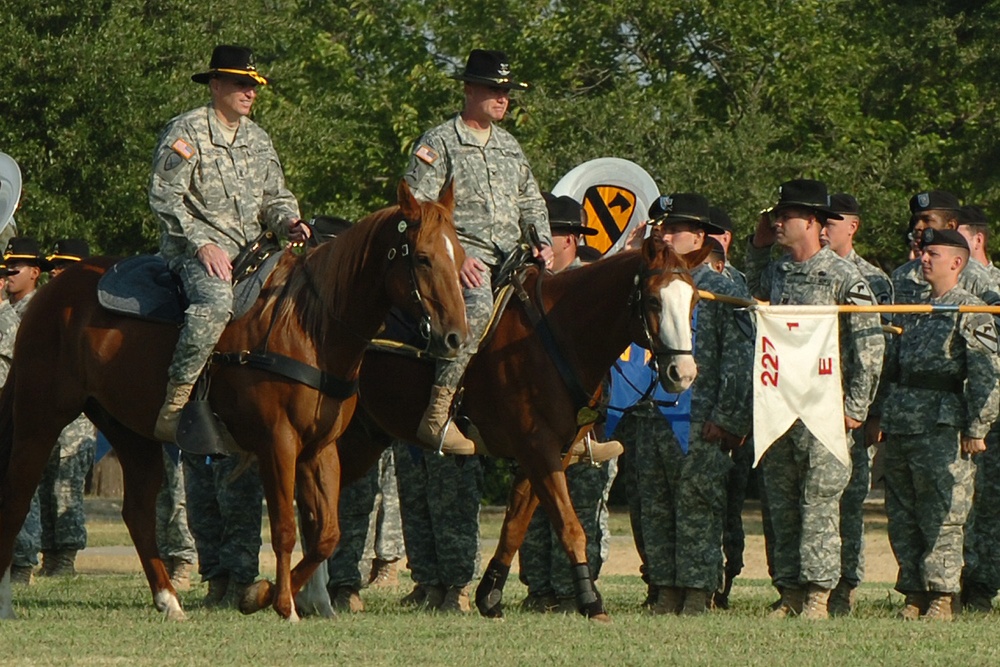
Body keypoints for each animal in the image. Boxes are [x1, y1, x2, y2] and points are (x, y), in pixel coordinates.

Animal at [0, 179, 468, 620]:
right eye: (422, 257)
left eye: (461, 257)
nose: (455, 337)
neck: (309, 326)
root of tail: (54, 292)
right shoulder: (278, 443)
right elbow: (284, 528)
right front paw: (282, 603)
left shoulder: (321, 448)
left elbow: (327, 535)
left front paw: (265, 595)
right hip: (40, 418)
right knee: (17, 498)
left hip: (132, 433)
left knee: (137, 513)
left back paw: (169, 600)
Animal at [334, 239, 704, 620]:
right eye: (654, 300)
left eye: (694, 300)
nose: (683, 373)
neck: (558, 335)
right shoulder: (537, 449)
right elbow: (570, 526)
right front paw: (590, 599)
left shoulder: (546, 453)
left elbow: (516, 525)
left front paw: (490, 593)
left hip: (362, 438)